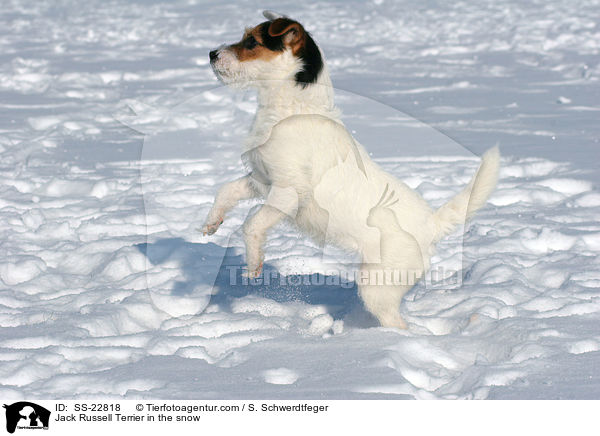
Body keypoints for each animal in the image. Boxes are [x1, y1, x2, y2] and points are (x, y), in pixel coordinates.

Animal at [204, 10, 500, 328]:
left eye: (251, 42)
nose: (211, 53)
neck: (292, 109)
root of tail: (431, 225)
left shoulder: (288, 191)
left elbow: (252, 225)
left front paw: (253, 264)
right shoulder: (261, 180)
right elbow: (226, 190)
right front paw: (212, 221)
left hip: (376, 285)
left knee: (400, 325)